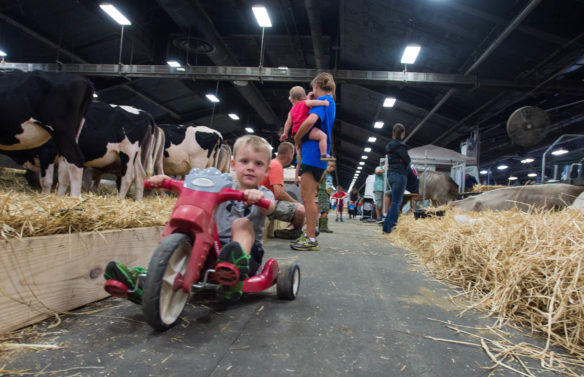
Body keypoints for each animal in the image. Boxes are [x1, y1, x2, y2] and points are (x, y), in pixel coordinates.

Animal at [0, 69, 93, 197]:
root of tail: (84, 81)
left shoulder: (47, 151)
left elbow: (46, 180)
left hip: (62, 133)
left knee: (76, 160)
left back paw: (74, 197)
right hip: (72, 134)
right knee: (64, 170)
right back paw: (60, 197)